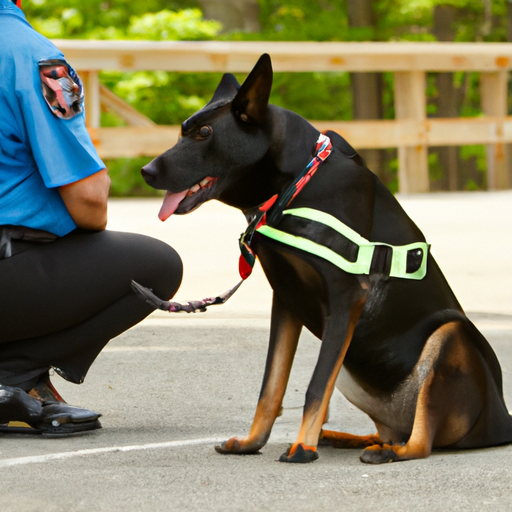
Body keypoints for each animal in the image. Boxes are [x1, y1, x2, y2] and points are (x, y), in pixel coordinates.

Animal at [140, 55, 512, 464]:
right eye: (182, 131)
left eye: (204, 133)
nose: (146, 171)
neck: (296, 186)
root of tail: (504, 420)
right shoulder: (286, 299)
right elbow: (271, 386)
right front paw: (256, 442)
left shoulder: (345, 298)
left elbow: (316, 385)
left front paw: (303, 447)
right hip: (356, 368)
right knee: (388, 431)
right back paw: (349, 438)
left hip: (451, 335)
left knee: (421, 442)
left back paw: (387, 451)